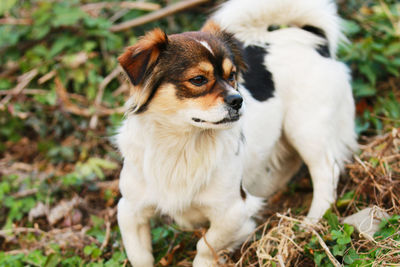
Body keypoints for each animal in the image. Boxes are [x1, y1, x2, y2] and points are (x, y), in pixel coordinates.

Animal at [115, 0, 356, 267]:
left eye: (232, 76)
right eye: (198, 80)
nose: (238, 100)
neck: (182, 144)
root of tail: (313, 39)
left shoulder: (233, 213)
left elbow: (205, 247)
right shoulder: (129, 210)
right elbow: (139, 255)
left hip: (306, 128)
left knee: (326, 172)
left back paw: (312, 221)